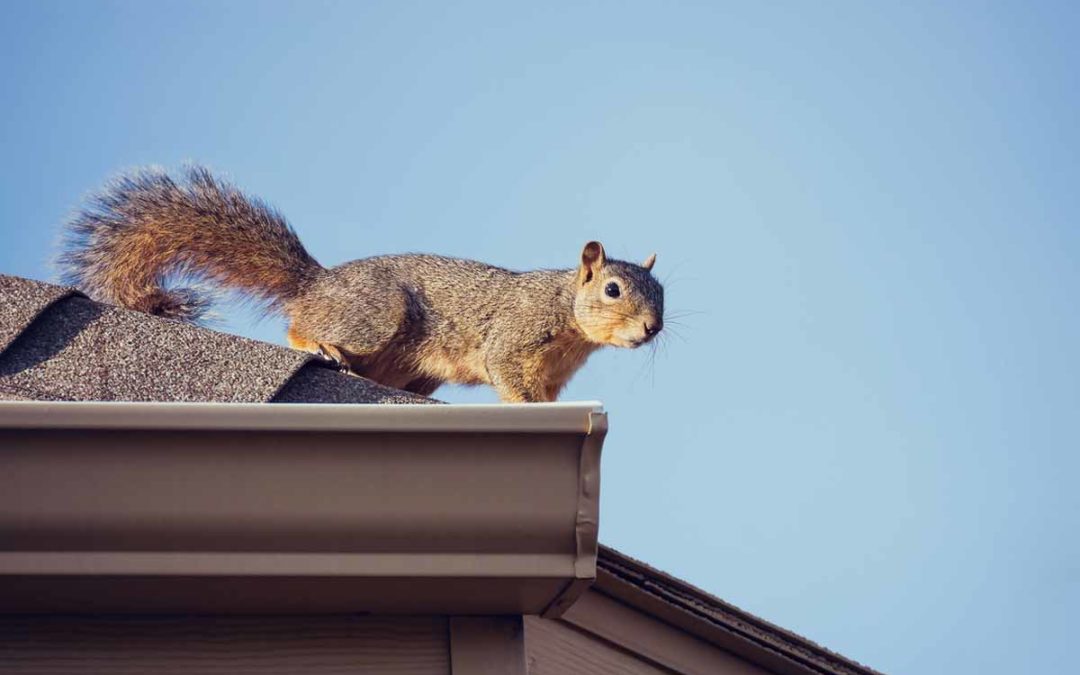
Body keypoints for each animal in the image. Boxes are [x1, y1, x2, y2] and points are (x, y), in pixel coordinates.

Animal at [61, 166, 665, 401]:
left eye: (662, 295)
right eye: (613, 290)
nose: (652, 328)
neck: (568, 314)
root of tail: (318, 283)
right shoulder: (515, 336)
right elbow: (509, 376)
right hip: (375, 316)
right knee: (300, 326)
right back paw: (320, 345)